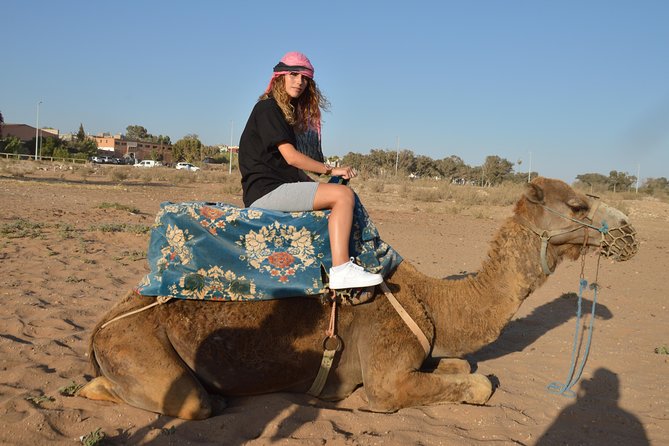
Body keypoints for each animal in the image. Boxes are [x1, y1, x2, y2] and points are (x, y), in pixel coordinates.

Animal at [78, 177, 636, 418]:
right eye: (578, 204)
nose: (629, 231)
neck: (434, 302)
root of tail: (101, 326)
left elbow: (464, 368)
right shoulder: (387, 377)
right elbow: (477, 384)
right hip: (137, 348)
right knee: (196, 402)